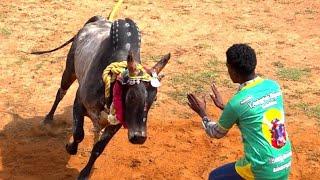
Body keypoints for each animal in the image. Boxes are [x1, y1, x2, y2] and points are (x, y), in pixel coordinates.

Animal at [32, 15, 171, 179]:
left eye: (153, 99)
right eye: (131, 96)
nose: (139, 137)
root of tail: (99, 19)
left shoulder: (115, 124)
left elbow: (98, 148)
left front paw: (85, 172)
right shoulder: (78, 103)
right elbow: (78, 134)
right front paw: (70, 148)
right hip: (69, 71)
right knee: (60, 93)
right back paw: (48, 119)